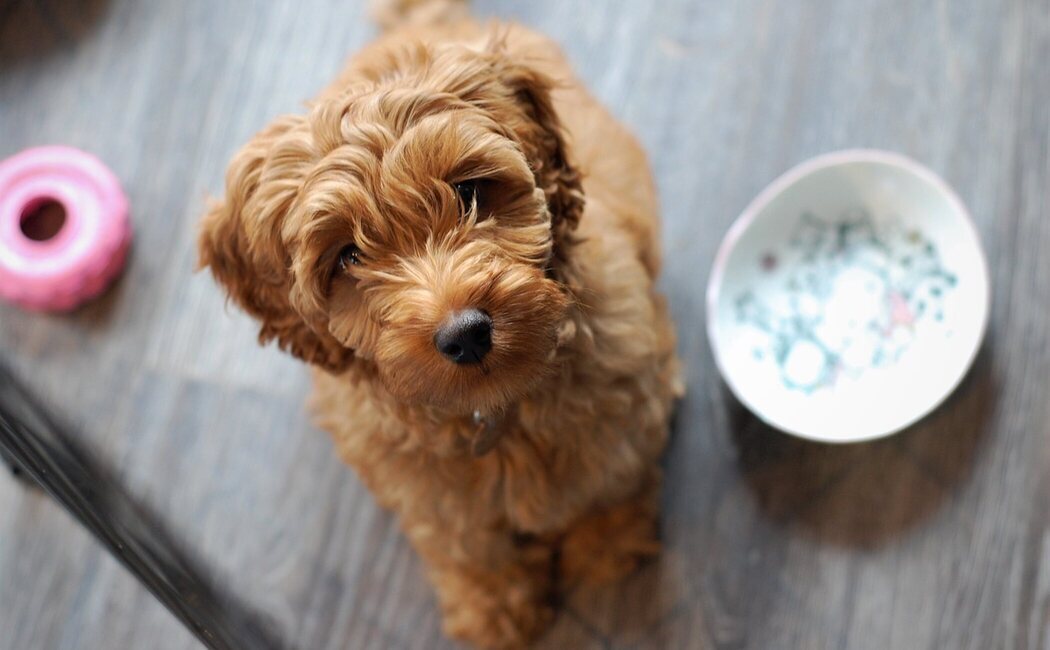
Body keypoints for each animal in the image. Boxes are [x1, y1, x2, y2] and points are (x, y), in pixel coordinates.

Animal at [200, 2, 684, 646]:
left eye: (469, 190)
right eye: (347, 256)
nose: (465, 333)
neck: (496, 412)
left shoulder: (623, 399)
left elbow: (610, 477)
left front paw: (606, 545)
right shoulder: (420, 486)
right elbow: (466, 540)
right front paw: (494, 607)